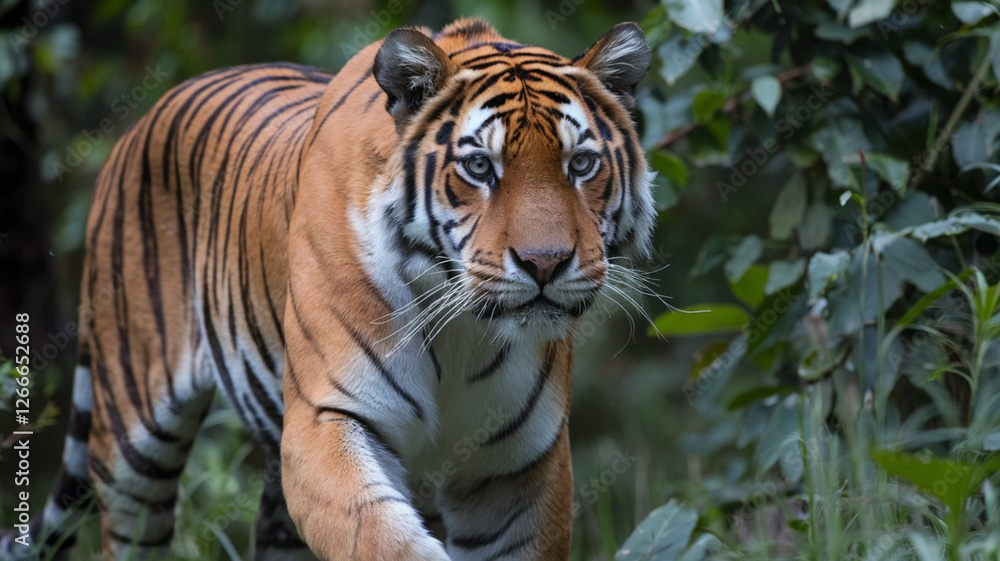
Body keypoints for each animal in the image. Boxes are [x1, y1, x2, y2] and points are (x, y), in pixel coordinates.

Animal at [1, 17, 654, 561]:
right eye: (479, 168)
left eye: (581, 165)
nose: (546, 264)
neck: (463, 330)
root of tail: (147, 115)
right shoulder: (325, 422)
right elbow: (385, 540)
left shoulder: (520, 470)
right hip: (132, 440)